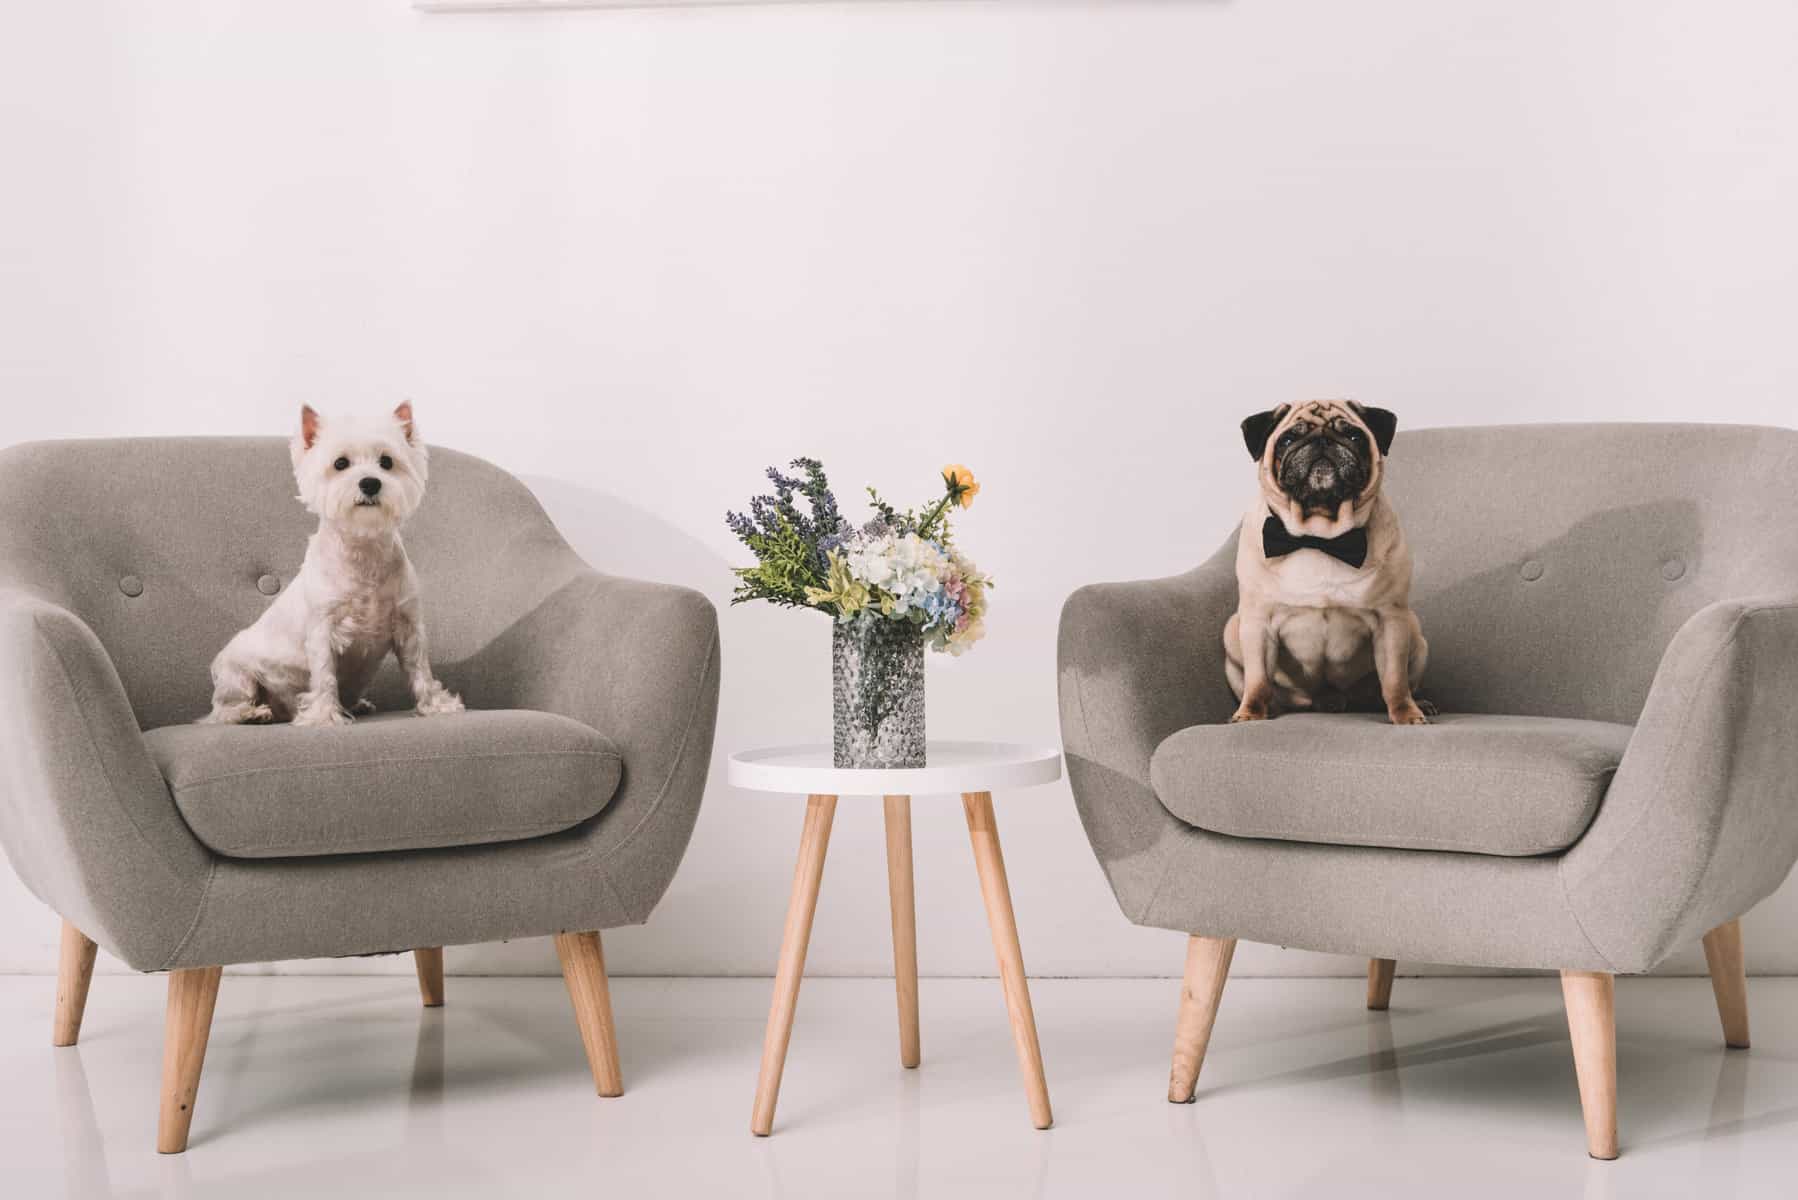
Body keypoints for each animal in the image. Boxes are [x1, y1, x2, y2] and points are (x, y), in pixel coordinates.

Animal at [201, 402, 467, 726]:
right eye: (340, 463)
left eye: (387, 462)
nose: (370, 483)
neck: (363, 550)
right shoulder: (322, 629)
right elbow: (325, 675)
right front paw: (324, 716)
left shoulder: (407, 625)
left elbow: (420, 669)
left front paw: (436, 705)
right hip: (237, 674)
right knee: (222, 711)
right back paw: (254, 713)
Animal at [1222, 401, 1431, 723]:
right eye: (1287, 439)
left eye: (1355, 436)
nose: (1322, 441)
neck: (1319, 537)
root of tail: (1327, 701)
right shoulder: (1257, 624)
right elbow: (1257, 681)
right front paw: (1250, 714)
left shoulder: (1391, 620)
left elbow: (1395, 681)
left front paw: (1406, 714)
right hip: (1233, 632)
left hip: (1415, 635)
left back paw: (1419, 703)